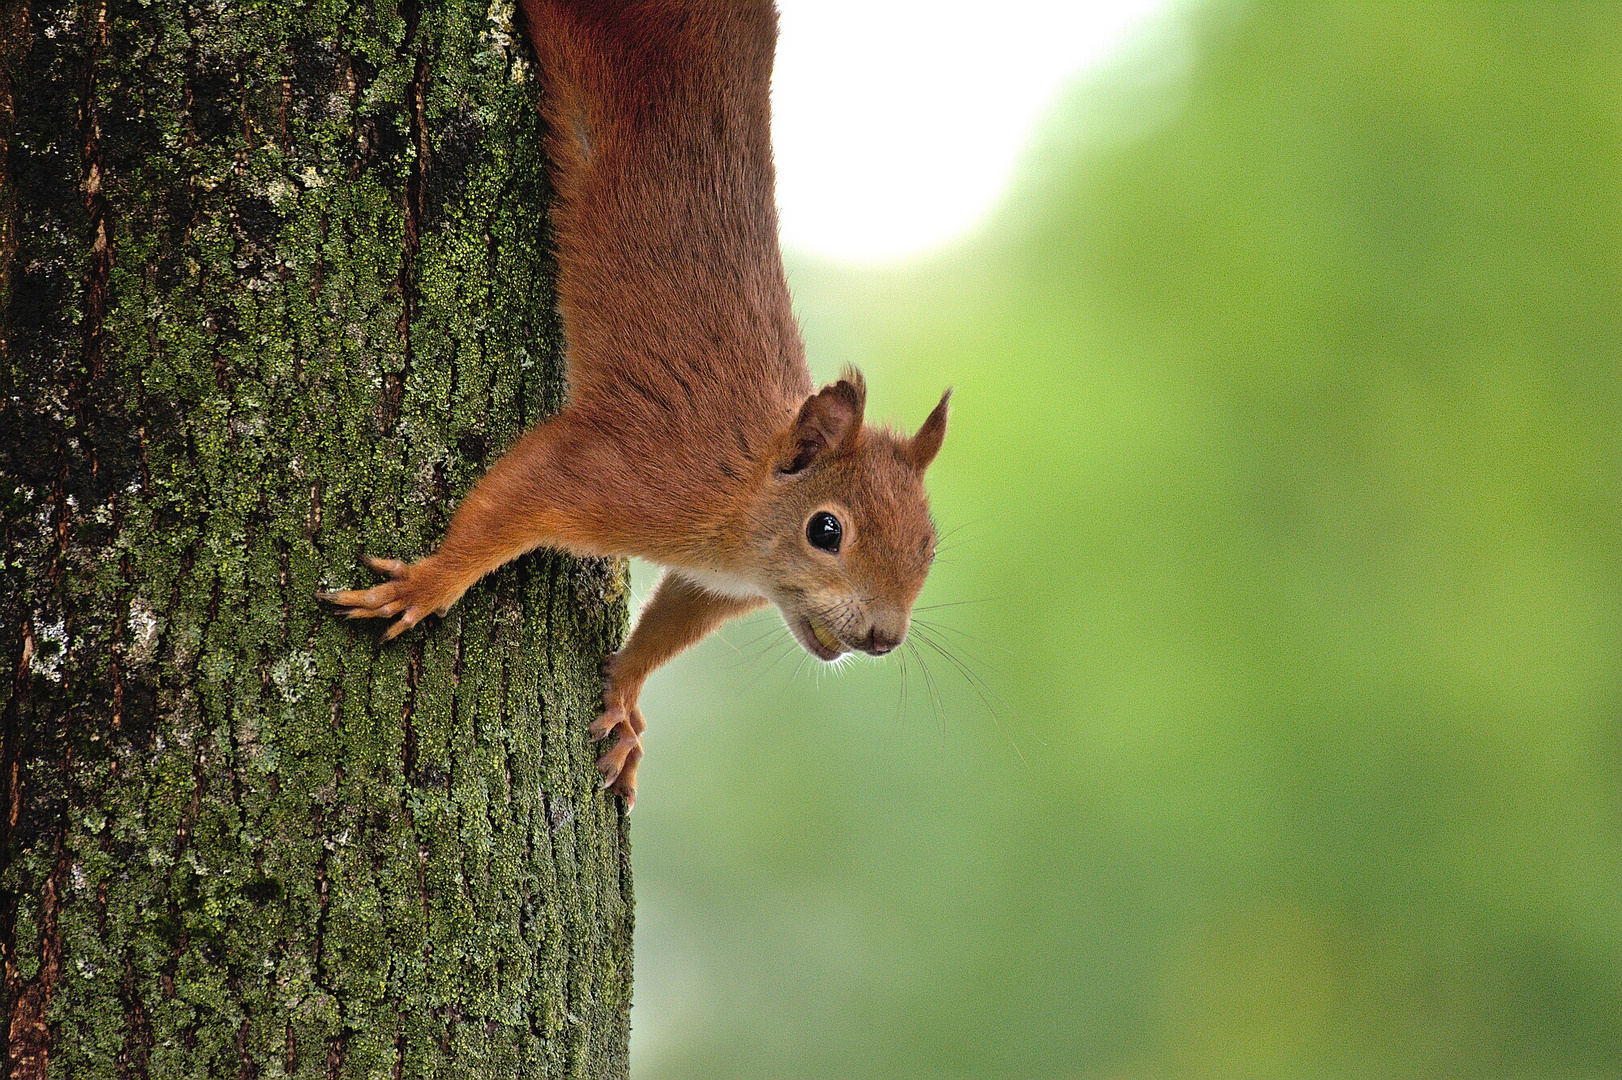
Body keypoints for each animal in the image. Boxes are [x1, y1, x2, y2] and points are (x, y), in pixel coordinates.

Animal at [319, 0, 947, 807]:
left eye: (930, 546)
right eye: (827, 531)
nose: (884, 636)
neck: (741, 502)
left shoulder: (714, 580)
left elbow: (668, 622)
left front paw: (624, 695)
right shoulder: (635, 475)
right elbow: (519, 494)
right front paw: (429, 584)